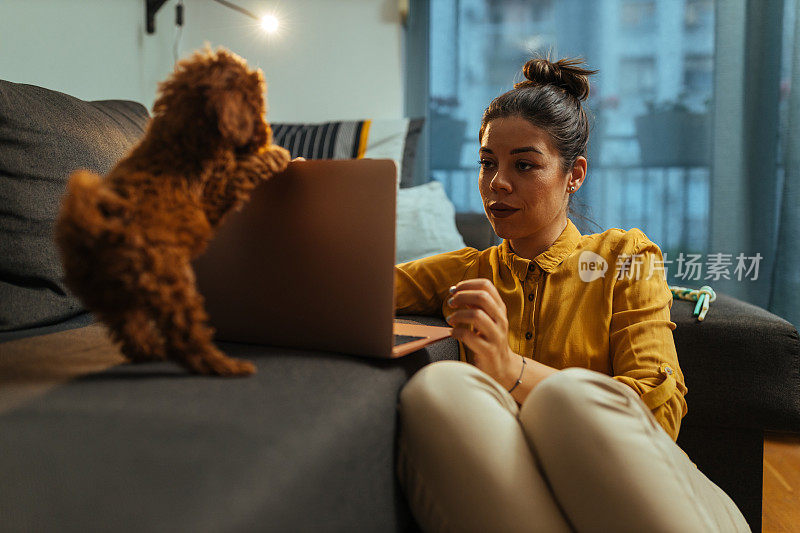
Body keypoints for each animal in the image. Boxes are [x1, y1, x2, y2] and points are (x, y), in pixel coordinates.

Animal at [54, 47, 290, 376]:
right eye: (256, 104)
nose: (267, 133)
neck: (182, 132)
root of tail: (91, 230)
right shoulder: (216, 192)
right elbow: (248, 168)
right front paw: (278, 153)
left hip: (112, 295)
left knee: (130, 327)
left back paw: (151, 351)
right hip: (167, 280)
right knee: (186, 337)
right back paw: (226, 366)